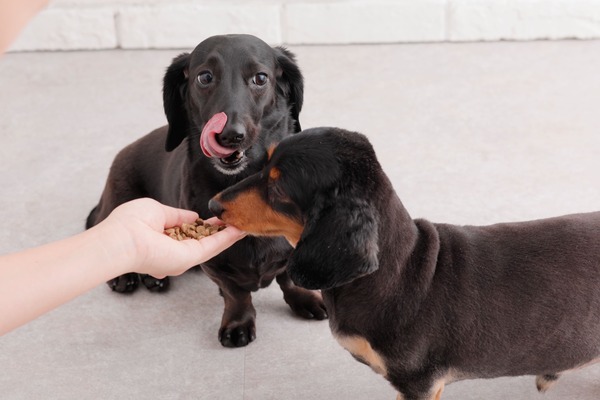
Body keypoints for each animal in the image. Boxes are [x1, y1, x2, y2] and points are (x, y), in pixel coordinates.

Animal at [86, 34, 326, 346]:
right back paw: (130, 275)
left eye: (261, 78)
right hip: (122, 195)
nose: (229, 135)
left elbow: (288, 278)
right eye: (205, 77)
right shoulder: (216, 265)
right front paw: (238, 323)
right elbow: (236, 294)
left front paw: (305, 299)